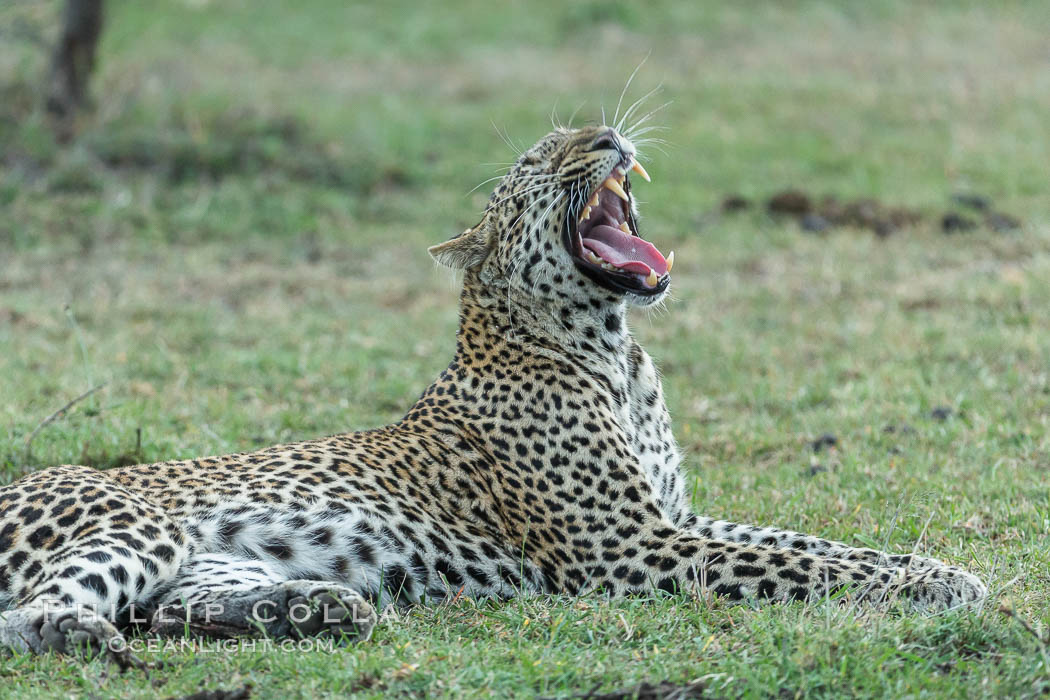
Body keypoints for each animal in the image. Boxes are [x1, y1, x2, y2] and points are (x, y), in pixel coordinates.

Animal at [0, 120, 986, 663]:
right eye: (537, 164)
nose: (605, 137)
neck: (615, 352)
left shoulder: (673, 518)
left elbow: (812, 543)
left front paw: (936, 569)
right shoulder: (626, 550)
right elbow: (803, 565)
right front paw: (941, 584)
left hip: (209, 559)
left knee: (170, 608)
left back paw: (316, 607)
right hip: (133, 521)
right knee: (35, 610)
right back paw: (85, 638)